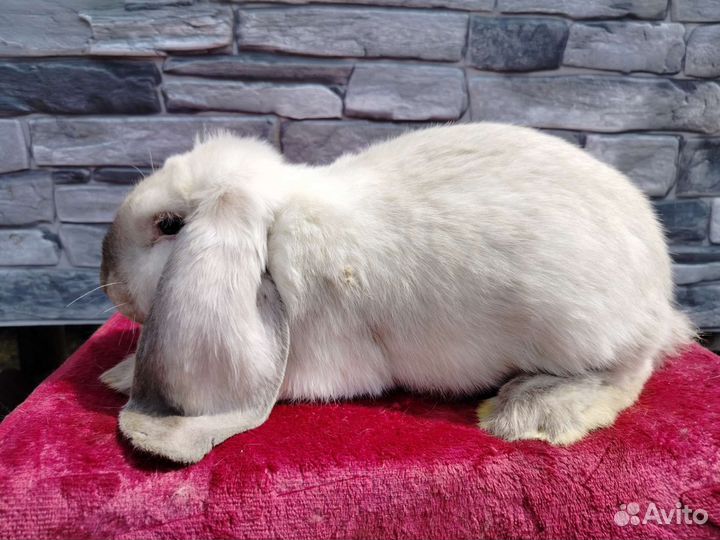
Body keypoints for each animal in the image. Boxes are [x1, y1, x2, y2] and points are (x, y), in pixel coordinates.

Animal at [100, 123, 694, 464]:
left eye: (169, 225)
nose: (108, 279)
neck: (277, 231)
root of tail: (660, 298)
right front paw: (117, 374)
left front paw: (119, 377)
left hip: (579, 329)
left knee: (626, 374)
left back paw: (530, 413)